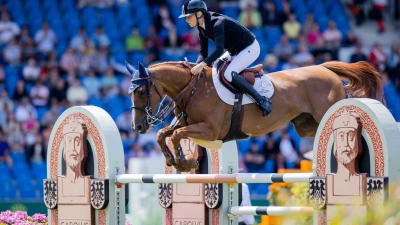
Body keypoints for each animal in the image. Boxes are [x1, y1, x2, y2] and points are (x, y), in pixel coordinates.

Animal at [128, 60, 384, 171]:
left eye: (141, 91)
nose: (138, 128)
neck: (192, 89)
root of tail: (324, 68)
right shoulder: (188, 124)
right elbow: (163, 134)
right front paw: (173, 160)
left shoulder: (210, 130)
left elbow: (176, 135)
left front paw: (183, 161)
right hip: (305, 125)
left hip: (324, 114)